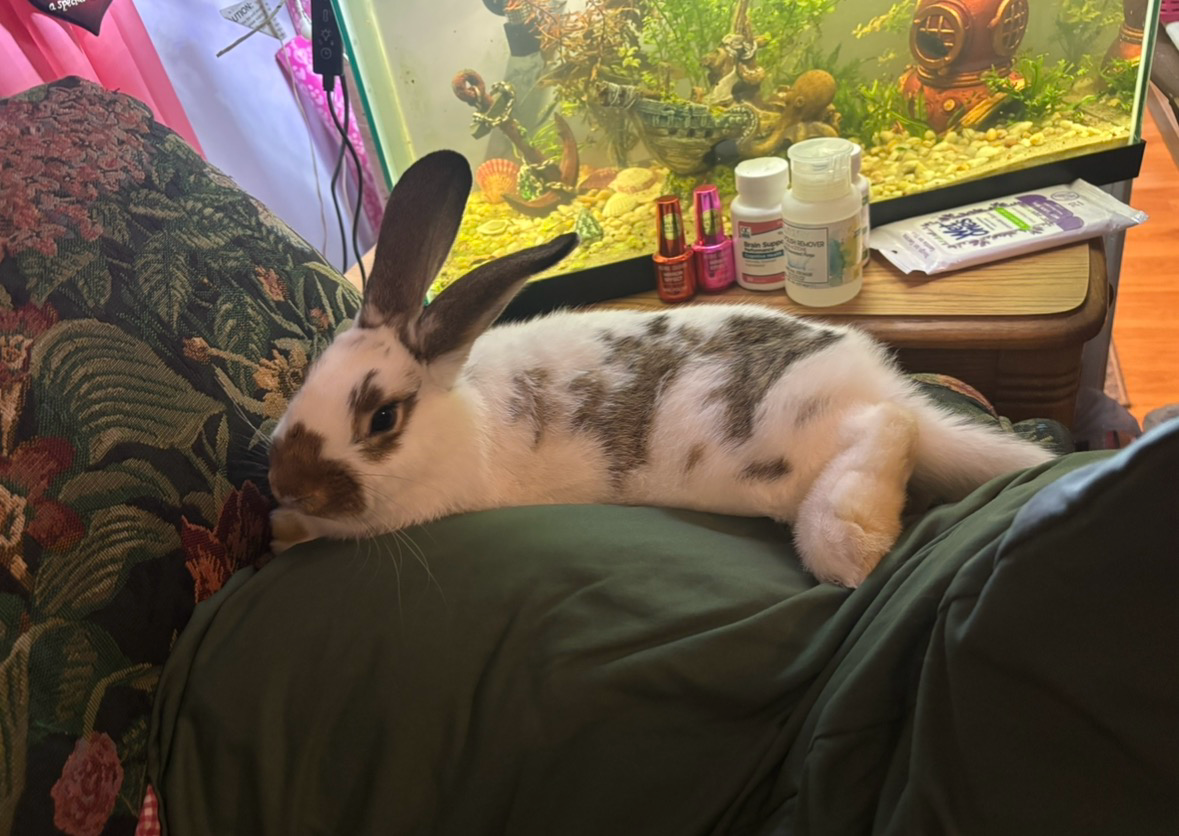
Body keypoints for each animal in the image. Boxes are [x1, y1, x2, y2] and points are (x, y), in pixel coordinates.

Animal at [267, 149, 1053, 588]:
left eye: (382, 418)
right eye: (307, 381)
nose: (285, 483)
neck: (462, 417)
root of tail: (874, 377)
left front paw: (285, 528)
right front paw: (280, 525)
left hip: (792, 441)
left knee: (887, 429)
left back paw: (847, 546)